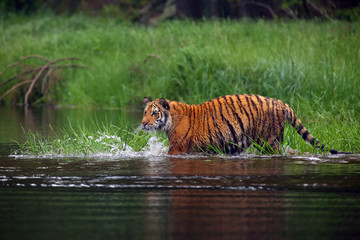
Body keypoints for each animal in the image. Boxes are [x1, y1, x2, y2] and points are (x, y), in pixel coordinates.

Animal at [141, 94, 348, 155]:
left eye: (154, 113)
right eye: (144, 112)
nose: (143, 124)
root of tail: (281, 103)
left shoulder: (177, 149)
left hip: (268, 140)